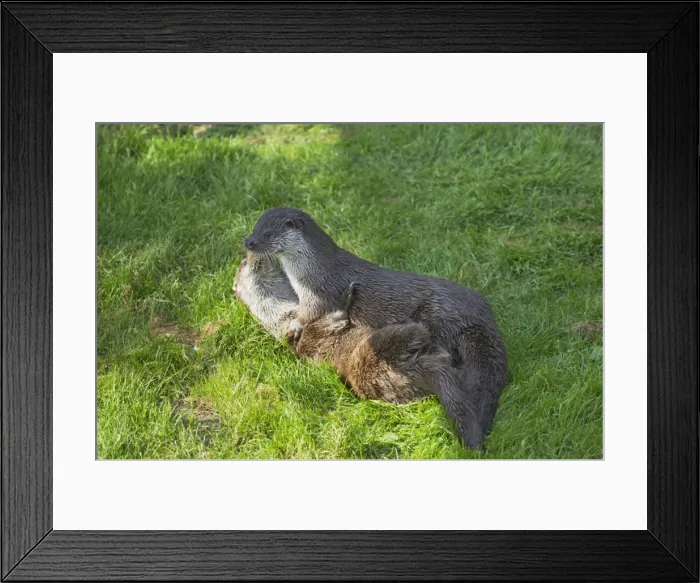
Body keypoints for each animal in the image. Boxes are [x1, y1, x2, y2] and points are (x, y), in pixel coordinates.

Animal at [244, 207, 508, 449]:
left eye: (267, 234)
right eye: (255, 227)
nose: (248, 242)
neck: (310, 272)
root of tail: (481, 316)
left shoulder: (317, 297)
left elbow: (309, 315)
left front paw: (295, 328)